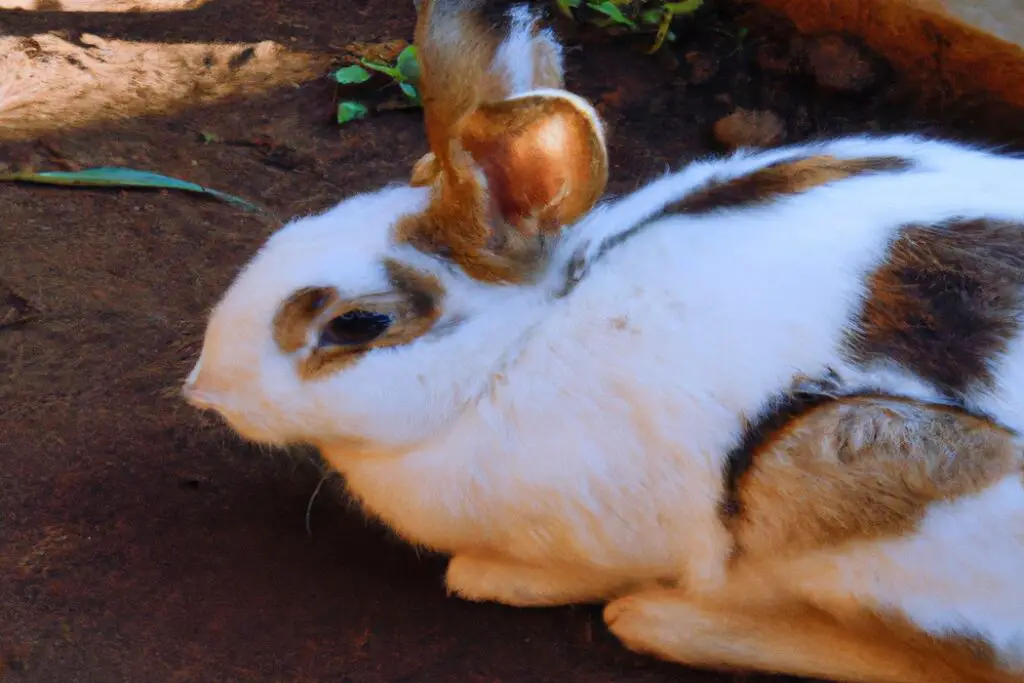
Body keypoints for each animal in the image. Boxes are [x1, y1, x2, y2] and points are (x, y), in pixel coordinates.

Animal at [182, 0, 1024, 680]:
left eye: (357, 324)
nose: (204, 391)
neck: (517, 347)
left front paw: (488, 576)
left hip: (835, 459)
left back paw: (657, 618)